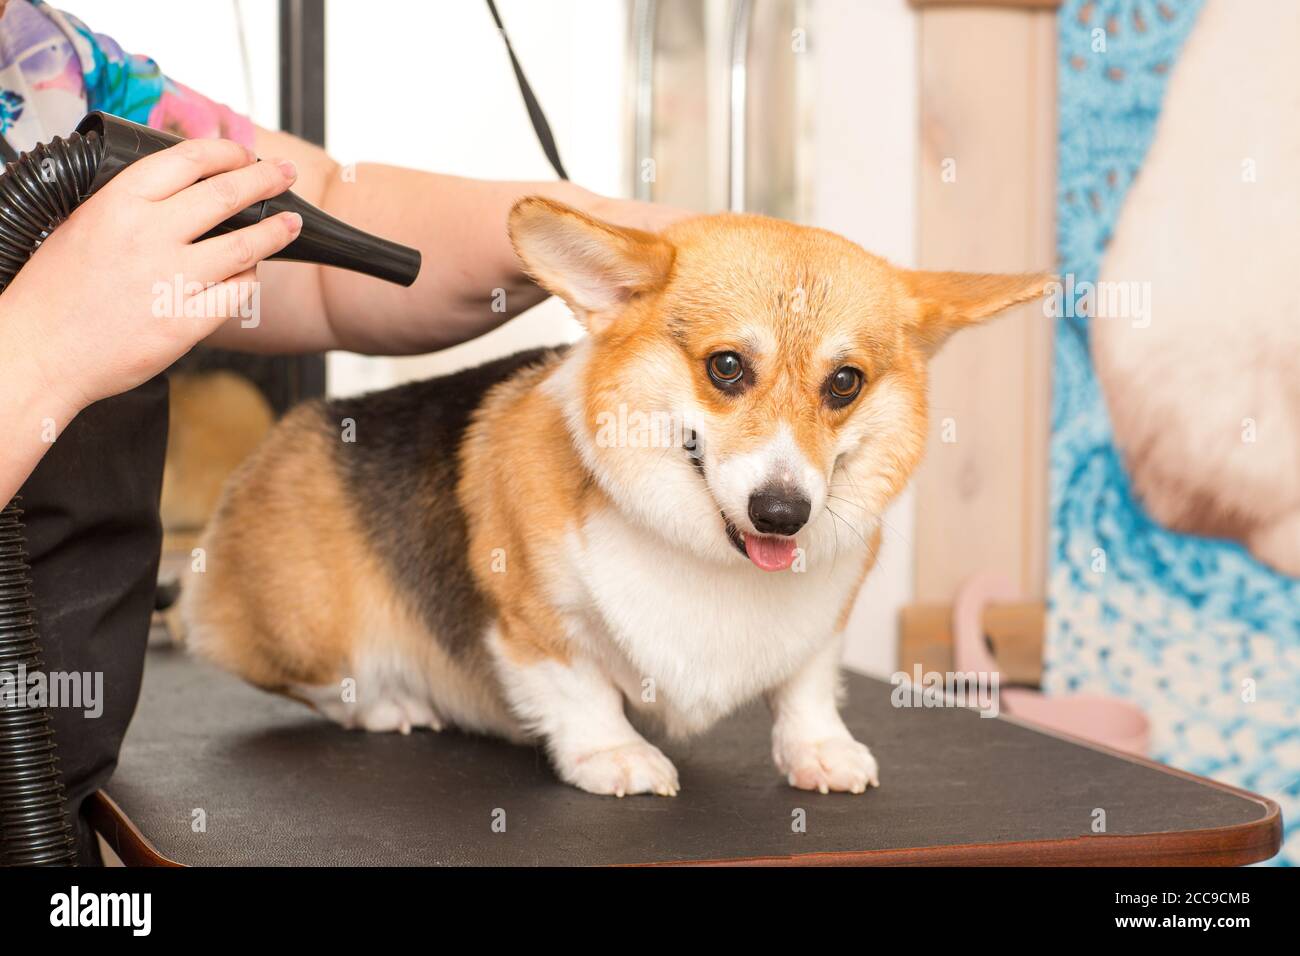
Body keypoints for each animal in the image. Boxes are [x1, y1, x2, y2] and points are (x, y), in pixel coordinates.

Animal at [185, 200, 1045, 801]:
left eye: (845, 383)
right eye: (726, 366)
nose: (782, 514)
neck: (706, 556)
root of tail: (284, 434)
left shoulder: (824, 621)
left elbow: (806, 683)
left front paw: (819, 750)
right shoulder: (530, 620)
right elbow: (579, 687)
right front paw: (616, 755)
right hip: (304, 632)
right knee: (323, 682)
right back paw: (388, 704)